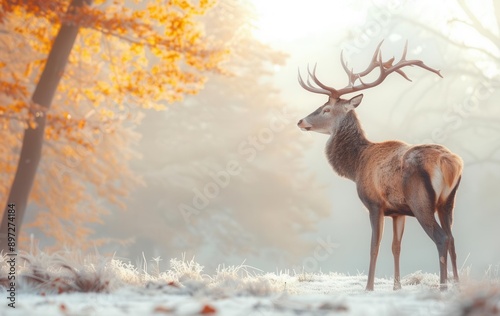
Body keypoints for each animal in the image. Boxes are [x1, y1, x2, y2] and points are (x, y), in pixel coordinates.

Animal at [296, 41, 464, 292]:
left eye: (326, 109)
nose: (301, 121)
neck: (356, 165)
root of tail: (450, 162)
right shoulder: (398, 211)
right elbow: (396, 247)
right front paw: (397, 286)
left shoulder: (375, 204)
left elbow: (374, 246)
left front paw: (369, 287)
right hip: (448, 202)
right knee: (452, 238)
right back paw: (458, 284)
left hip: (421, 201)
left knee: (441, 237)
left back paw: (443, 285)